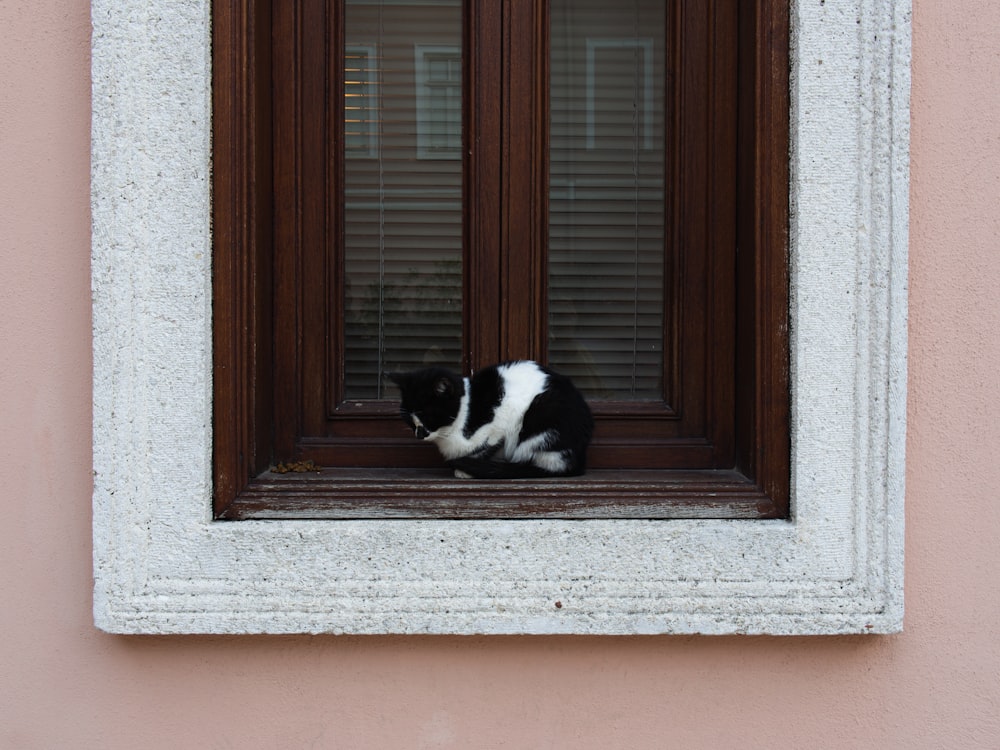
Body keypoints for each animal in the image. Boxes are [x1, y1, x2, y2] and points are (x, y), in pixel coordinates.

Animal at [388, 362, 592, 478]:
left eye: (428, 415)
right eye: (408, 419)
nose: (419, 434)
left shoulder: (499, 424)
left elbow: (485, 447)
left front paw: (465, 470)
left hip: (543, 416)